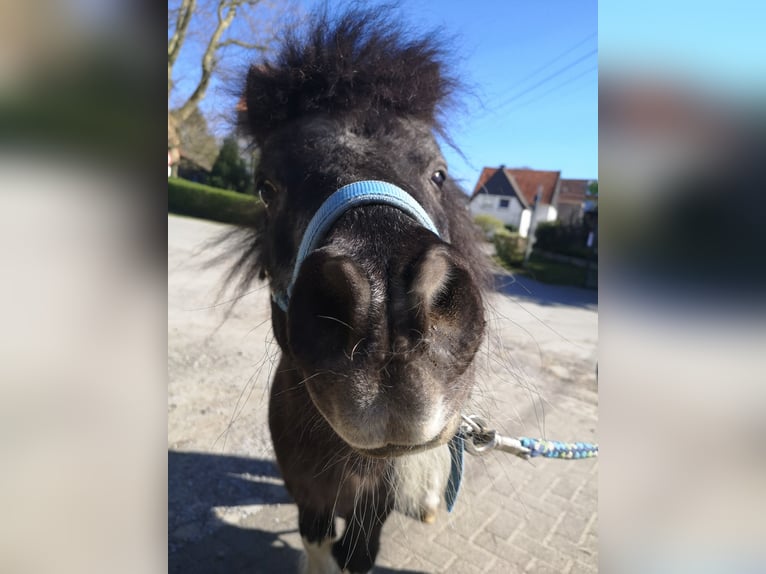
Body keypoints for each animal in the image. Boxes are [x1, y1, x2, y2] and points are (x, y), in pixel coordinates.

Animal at [231, 5, 488, 574]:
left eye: (439, 174)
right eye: (266, 186)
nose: (387, 310)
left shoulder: (375, 508)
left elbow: (356, 555)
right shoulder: (308, 494)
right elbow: (316, 538)